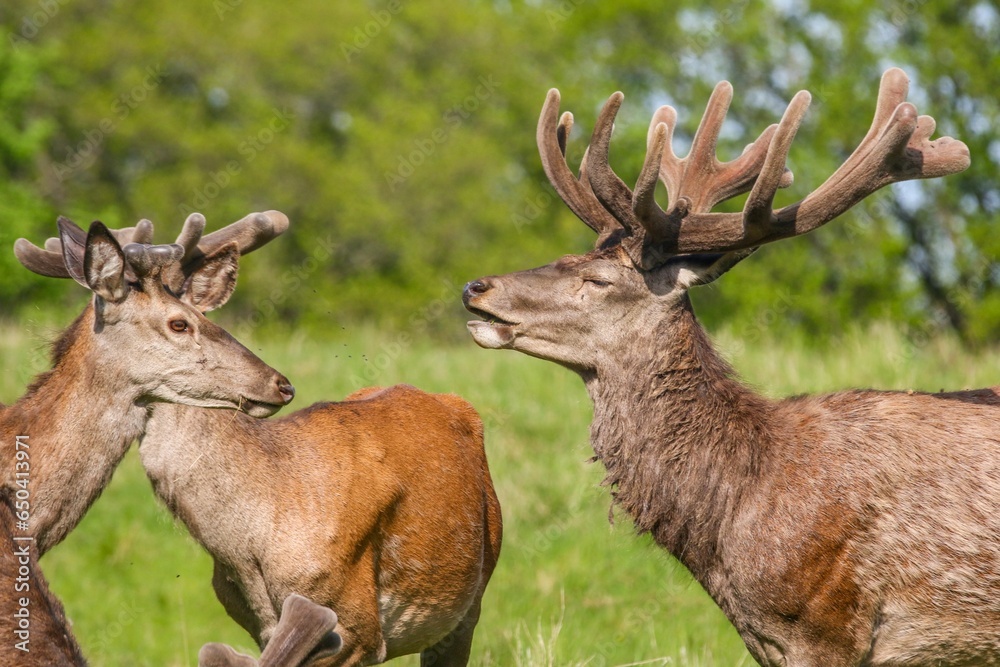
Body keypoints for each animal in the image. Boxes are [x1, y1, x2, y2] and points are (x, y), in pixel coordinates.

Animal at [26, 213, 504, 664]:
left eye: (192, 319)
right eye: (179, 324)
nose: (281, 384)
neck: (255, 538)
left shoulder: (358, 626)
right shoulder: (257, 622)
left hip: (471, 599)